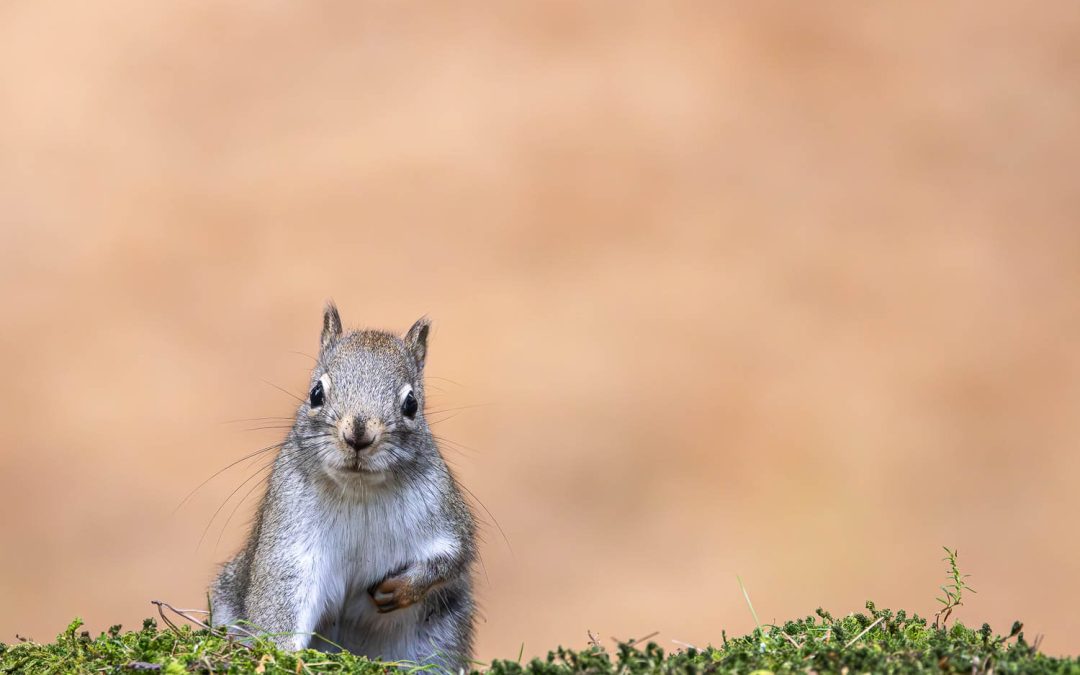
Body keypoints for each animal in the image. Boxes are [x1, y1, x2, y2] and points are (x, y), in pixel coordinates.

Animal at [209, 304, 477, 669]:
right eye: (316, 394)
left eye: (411, 404)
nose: (358, 435)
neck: (359, 490)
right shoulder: (290, 532)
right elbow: (282, 592)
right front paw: (281, 656)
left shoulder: (443, 513)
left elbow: (454, 556)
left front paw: (401, 589)